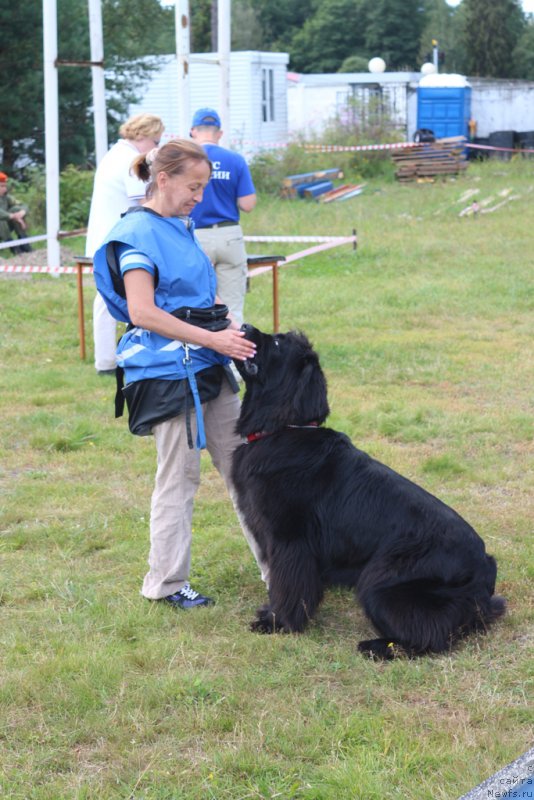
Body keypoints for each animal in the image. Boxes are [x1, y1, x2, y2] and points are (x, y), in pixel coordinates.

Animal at [231, 322, 506, 660]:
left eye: (279, 342)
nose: (243, 325)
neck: (286, 429)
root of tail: (485, 567)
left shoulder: (289, 540)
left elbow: (287, 585)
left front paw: (279, 623)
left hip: (380, 581)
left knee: (433, 634)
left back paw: (377, 647)